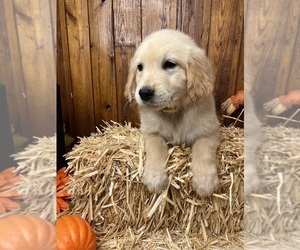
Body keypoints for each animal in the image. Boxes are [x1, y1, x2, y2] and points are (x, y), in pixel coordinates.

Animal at [124, 29, 220, 196]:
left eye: (169, 64)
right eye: (140, 67)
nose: (144, 93)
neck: (173, 111)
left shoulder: (211, 130)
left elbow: (203, 147)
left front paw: (205, 180)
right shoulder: (149, 132)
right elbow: (156, 146)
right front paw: (155, 177)